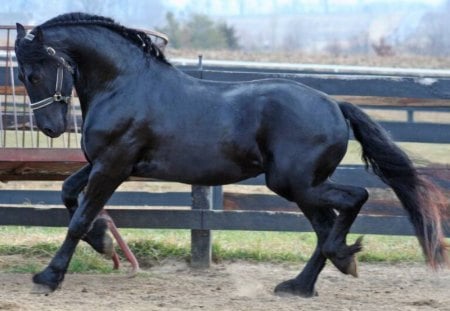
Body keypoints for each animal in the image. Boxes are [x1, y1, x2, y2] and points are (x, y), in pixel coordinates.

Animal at [15, 13, 448, 298]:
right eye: (22, 76)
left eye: (34, 73)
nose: (50, 128)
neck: (123, 85)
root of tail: (334, 105)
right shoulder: (104, 164)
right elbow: (68, 195)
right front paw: (104, 242)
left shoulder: (113, 166)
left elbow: (78, 217)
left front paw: (49, 277)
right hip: (303, 187)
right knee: (325, 226)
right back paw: (305, 282)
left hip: (294, 182)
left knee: (354, 199)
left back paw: (338, 259)